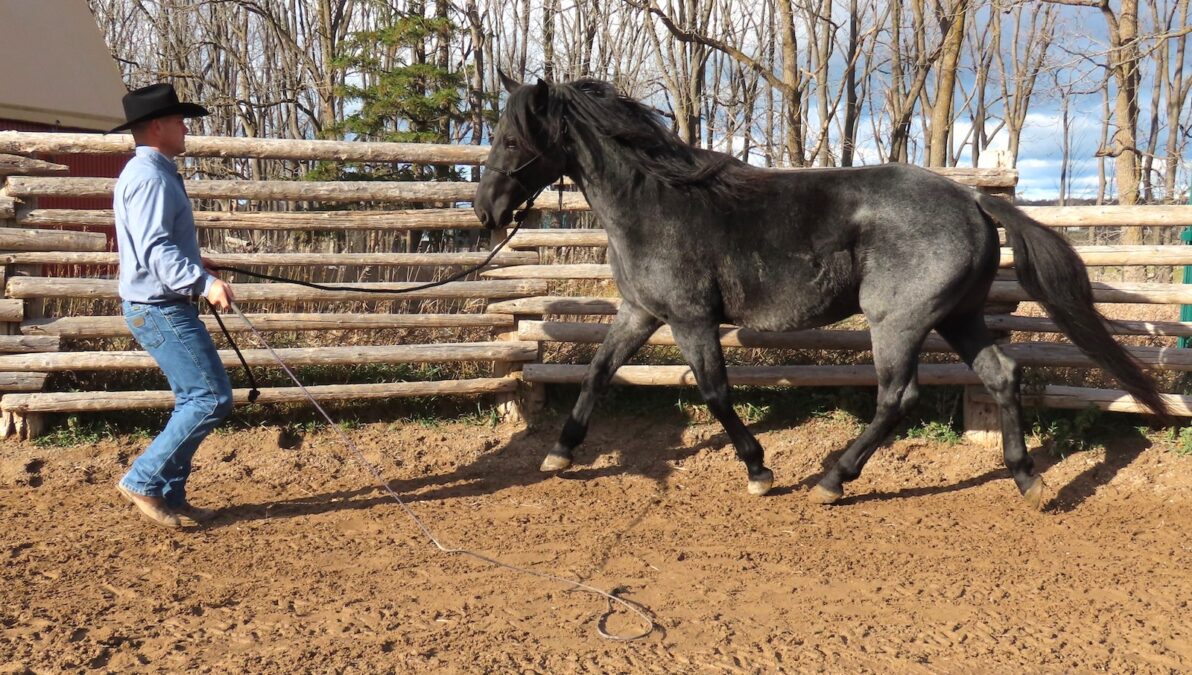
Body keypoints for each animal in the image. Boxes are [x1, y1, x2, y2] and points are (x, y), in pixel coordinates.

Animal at [472, 74, 1170, 510]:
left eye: (510, 139)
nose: (485, 211)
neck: (658, 203)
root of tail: (974, 200)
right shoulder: (642, 313)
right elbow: (597, 371)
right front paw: (560, 453)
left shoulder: (691, 319)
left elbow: (715, 392)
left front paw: (760, 471)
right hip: (960, 317)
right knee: (1002, 375)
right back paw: (1028, 481)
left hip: (898, 321)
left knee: (897, 396)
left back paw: (833, 479)